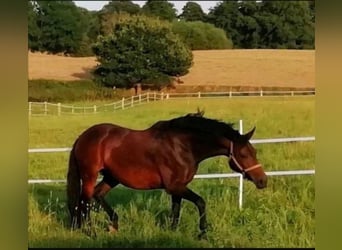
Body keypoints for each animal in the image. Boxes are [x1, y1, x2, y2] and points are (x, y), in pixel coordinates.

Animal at [66, 110, 268, 239]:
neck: (183, 146)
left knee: (97, 195)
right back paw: (90, 232)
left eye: (255, 152)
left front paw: (172, 232)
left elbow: (176, 211)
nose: (262, 181)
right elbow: (201, 202)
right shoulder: (175, 186)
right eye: (244, 154)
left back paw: (113, 225)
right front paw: (203, 233)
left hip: (112, 177)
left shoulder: (177, 188)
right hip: (90, 175)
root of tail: (83, 137)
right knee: (85, 200)